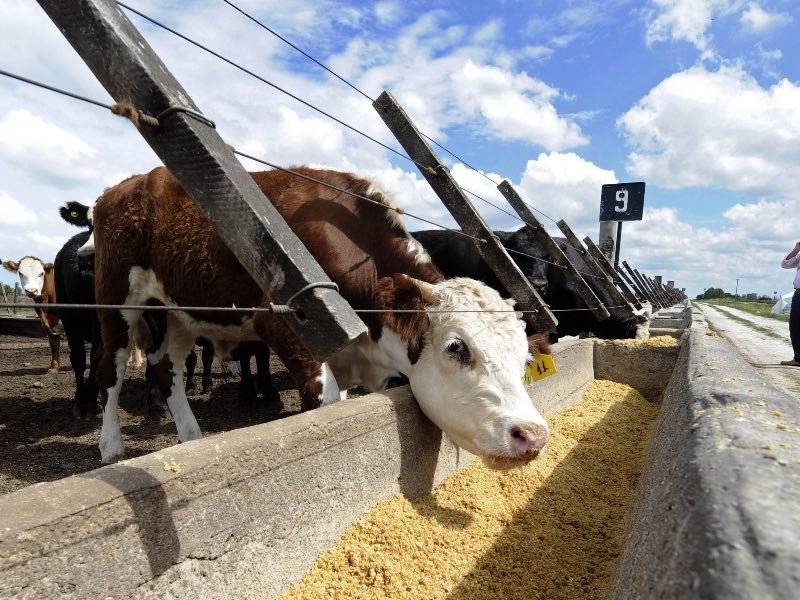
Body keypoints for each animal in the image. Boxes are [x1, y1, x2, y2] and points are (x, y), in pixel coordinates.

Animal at [87, 166, 552, 466]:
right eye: (458, 347)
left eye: (524, 360)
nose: (532, 435)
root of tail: (123, 186)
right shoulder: (281, 321)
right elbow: (325, 405)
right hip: (116, 300)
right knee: (110, 369)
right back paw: (111, 447)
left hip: (183, 313)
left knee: (167, 370)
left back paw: (192, 437)